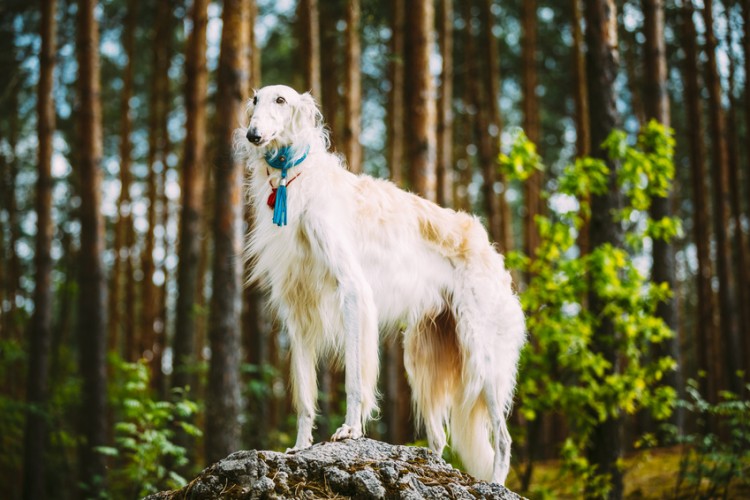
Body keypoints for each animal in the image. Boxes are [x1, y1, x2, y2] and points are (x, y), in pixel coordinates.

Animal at [238, 84, 524, 482]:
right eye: (254, 100)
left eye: (280, 100)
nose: (253, 134)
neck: (293, 181)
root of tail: (492, 252)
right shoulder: (298, 313)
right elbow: (305, 397)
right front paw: (299, 446)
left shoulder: (353, 290)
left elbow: (355, 380)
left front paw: (350, 430)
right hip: (421, 357)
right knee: (439, 437)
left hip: (482, 354)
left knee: (503, 438)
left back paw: (496, 484)